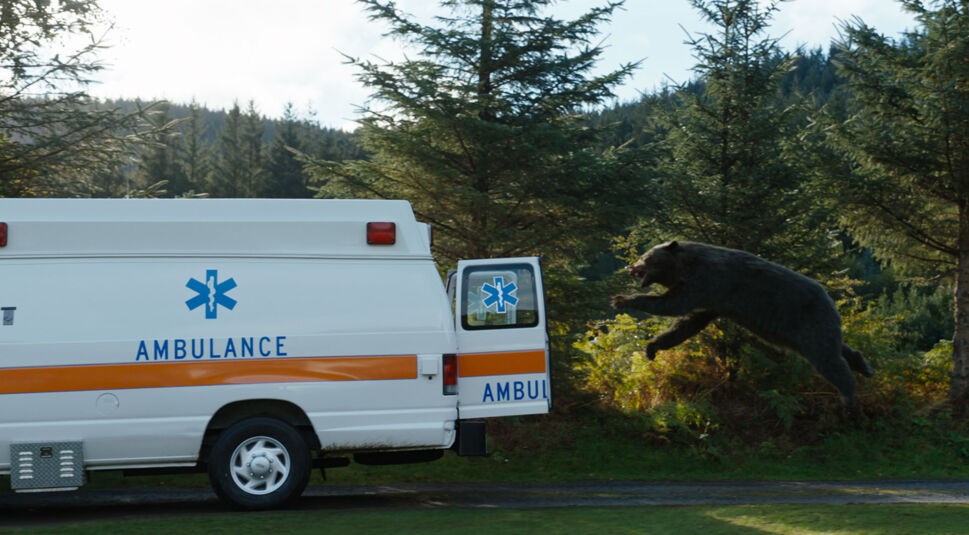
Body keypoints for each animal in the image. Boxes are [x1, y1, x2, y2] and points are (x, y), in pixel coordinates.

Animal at [611, 240, 874, 404]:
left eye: (646, 257)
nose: (631, 266)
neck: (687, 267)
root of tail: (831, 300)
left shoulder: (709, 282)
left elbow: (672, 305)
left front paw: (622, 299)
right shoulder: (713, 301)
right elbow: (687, 324)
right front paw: (652, 347)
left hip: (807, 322)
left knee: (829, 361)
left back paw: (848, 396)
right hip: (806, 331)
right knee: (838, 348)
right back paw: (864, 365)